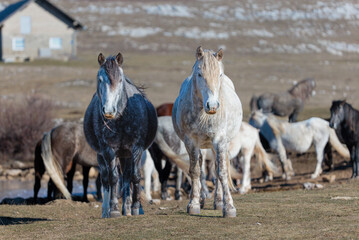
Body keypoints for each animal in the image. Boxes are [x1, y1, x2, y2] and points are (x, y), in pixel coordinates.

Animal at [85, 52, 158, 218]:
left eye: (120, 80)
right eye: (100, 79)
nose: (108, 111)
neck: (121, 119)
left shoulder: (136, 149)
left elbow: (135, 176)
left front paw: (136, 208)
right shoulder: (108, 150)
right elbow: (113, 178)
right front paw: (113, 209)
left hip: (126, 155)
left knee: (127, 177)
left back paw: (128, 208)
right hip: (103, 156)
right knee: (106, 179)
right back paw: (106, 210)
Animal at [173, 46, 243, 218]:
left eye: (220, 74)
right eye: (199, 74)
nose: (212, 106)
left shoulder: (219, 141)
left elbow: (222, 172)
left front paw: (229, 207)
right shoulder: (191, 142)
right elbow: (195, 171)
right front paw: (194, 204)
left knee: (217, 169)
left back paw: (218, 201)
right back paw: (202, 199)